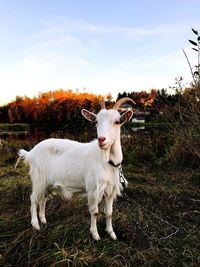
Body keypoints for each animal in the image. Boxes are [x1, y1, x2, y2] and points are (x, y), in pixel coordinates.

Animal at [15, 98, 134, 241]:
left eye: (117, 122)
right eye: (96, 121)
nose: (101, 140)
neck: (107, 162)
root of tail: (30, 153)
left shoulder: (110, 190)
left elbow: (109, 213)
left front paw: (111, 233)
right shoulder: (93, 189)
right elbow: (95, 212)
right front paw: (95, 234)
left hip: (47, 183)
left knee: (42, 199)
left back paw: (43, 220)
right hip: (39, 179)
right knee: (33, 199)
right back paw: (35, 224)